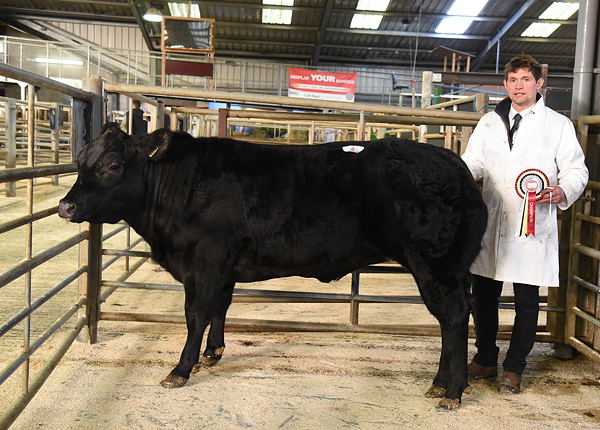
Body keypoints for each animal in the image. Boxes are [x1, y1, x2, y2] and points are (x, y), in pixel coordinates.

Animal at [57, 124, 488, 410]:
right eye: (81, 160)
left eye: (113, 165)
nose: (66, 206)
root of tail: (454, 163)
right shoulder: (223, 268)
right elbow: (220, 308)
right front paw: (213, 353)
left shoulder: (205, 261)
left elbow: (195, 314)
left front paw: (181, 369)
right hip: (449, 269)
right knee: (452, 320)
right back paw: (440, 384)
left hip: (435, 264)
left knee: (452, 318)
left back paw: (452, 392)